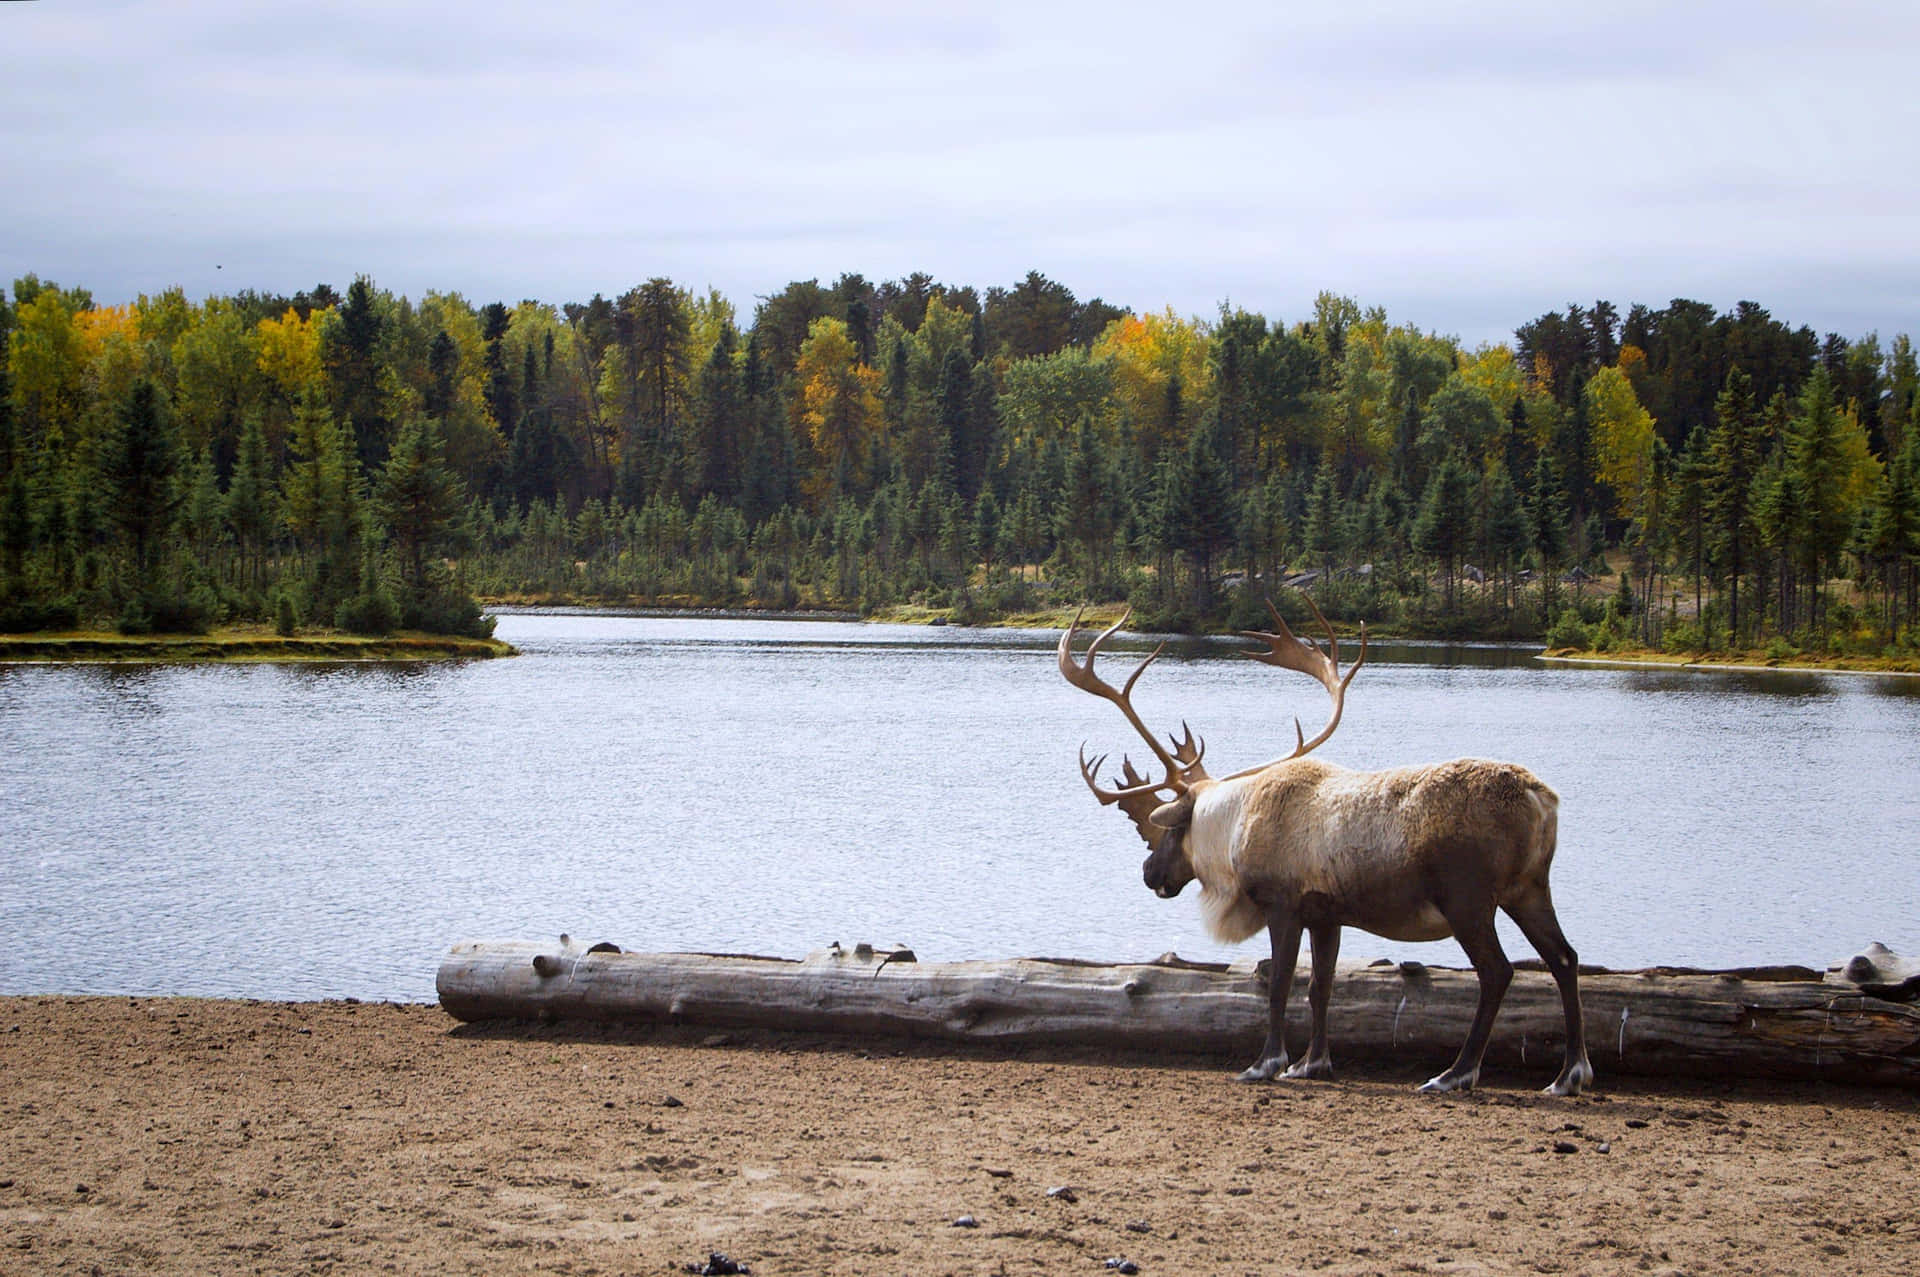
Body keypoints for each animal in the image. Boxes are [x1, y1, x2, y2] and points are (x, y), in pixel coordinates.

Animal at [1067, 599, 1589, 1098]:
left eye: (1170, 830)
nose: (1148, 872)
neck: (1233, 831)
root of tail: (1541, 798)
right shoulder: (1327, 914)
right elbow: (1322, 986)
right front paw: (1312, 1064)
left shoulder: (1282, 904)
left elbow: (1279, 984)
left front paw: (1266, 1063)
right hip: (1528, 889)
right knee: (1565, 958)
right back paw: (1568, 1074)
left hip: (1469, 899)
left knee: (1498, 972)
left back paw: (1455, 1074)